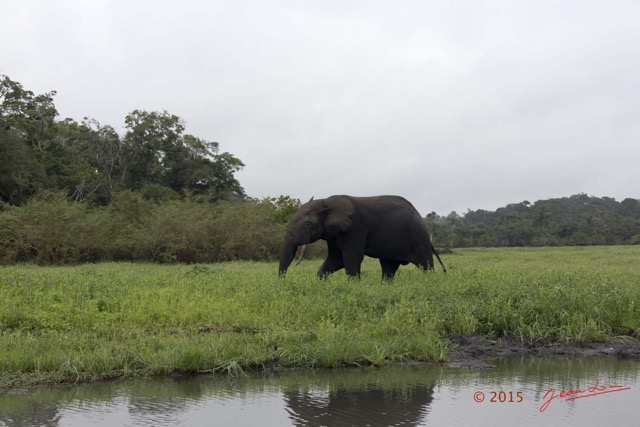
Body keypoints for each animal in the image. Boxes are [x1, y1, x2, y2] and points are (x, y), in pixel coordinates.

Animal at [280, 195, 444, 280]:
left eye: (307, 225)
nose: (283, 282)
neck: (325, 202)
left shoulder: (355, 229)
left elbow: (351, 258)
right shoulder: (333, 234)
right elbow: (336, 260)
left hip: (418, 237)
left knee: (426, 265)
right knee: (388, 267)